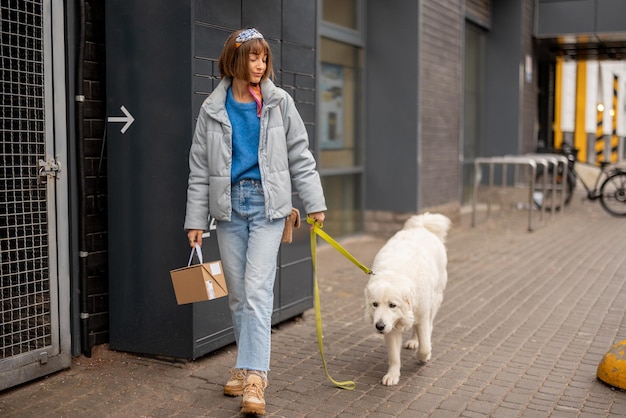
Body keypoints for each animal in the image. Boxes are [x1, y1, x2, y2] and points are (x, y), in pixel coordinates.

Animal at [360, 212, 448, 386]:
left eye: (392, 305)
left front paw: (424, 356)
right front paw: (393, 375)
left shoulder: (421, 313)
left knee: (428, 325)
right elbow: (394, 356)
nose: (379, 326)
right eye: (375, 304)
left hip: (434, 299)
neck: (395, 274)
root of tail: (421, 226)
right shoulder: (391, 328)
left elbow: (425, 345)